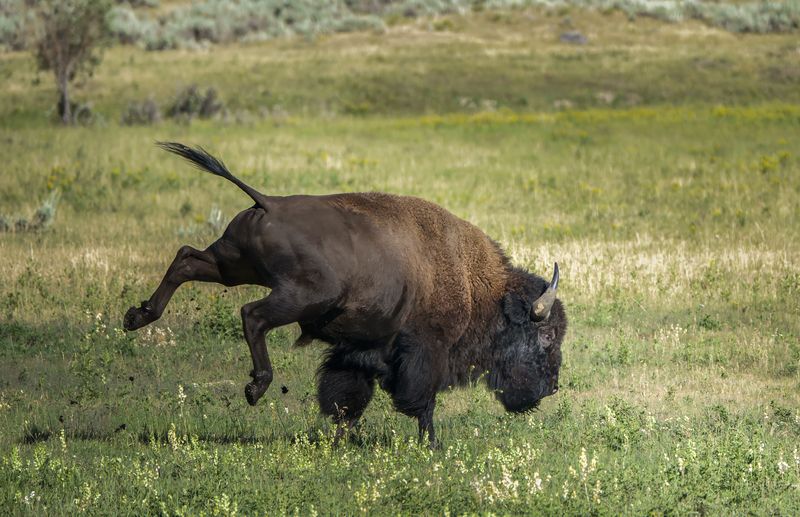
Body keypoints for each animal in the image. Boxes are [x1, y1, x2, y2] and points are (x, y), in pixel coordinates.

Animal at [124, 142, 567, 448]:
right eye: (545, 336)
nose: (553, 387)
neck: (474, 283)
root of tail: (270, 204)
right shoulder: (427, 350)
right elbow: (421, 401)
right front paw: (432, 445)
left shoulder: (360, 351)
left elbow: (346, 395)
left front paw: (342, 438)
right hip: (302, 296)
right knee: (252, 315)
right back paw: (256, 386)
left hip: (233, 266)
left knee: (186, 259)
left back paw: (137, 316)